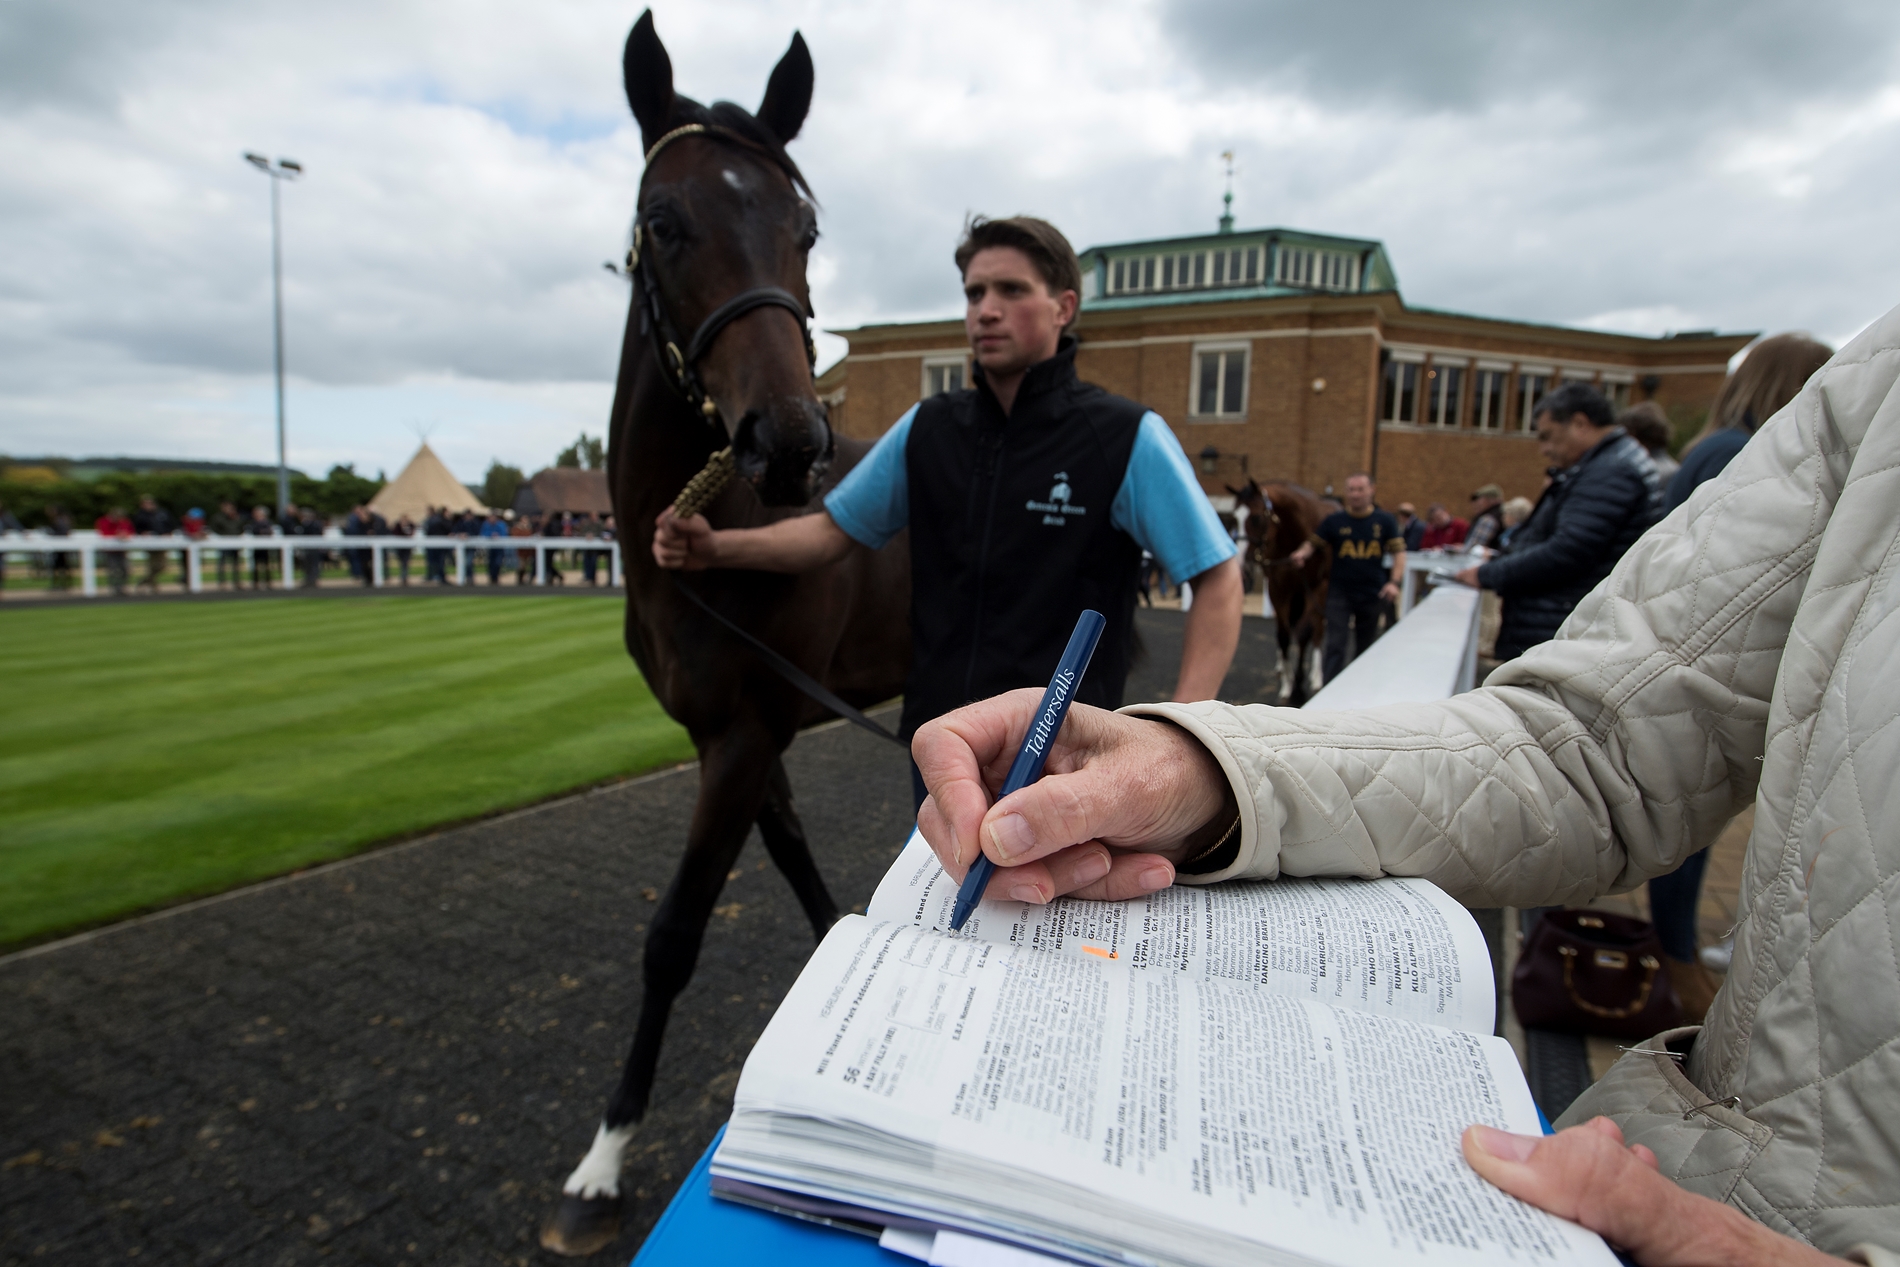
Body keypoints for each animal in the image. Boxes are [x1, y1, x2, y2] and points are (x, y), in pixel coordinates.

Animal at [543, 12, 912, 1261]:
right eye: (665, 221)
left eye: (804, 228)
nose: (789, 439)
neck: (715, 536)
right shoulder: (746, 734)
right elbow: (797, 870)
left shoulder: (744, 740)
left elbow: (674, 933)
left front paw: (604, 1158)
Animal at [1223, 480, 1330, 710]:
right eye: (1234, 519)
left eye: (1256, 518)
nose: (1240, 567)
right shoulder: (1277, 588)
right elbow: (1283, 636)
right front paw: (1288, 686)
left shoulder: (1318, 586)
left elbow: (1304, 632)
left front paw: (1298, 687)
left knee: (1317, 628)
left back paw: (1316, 677)